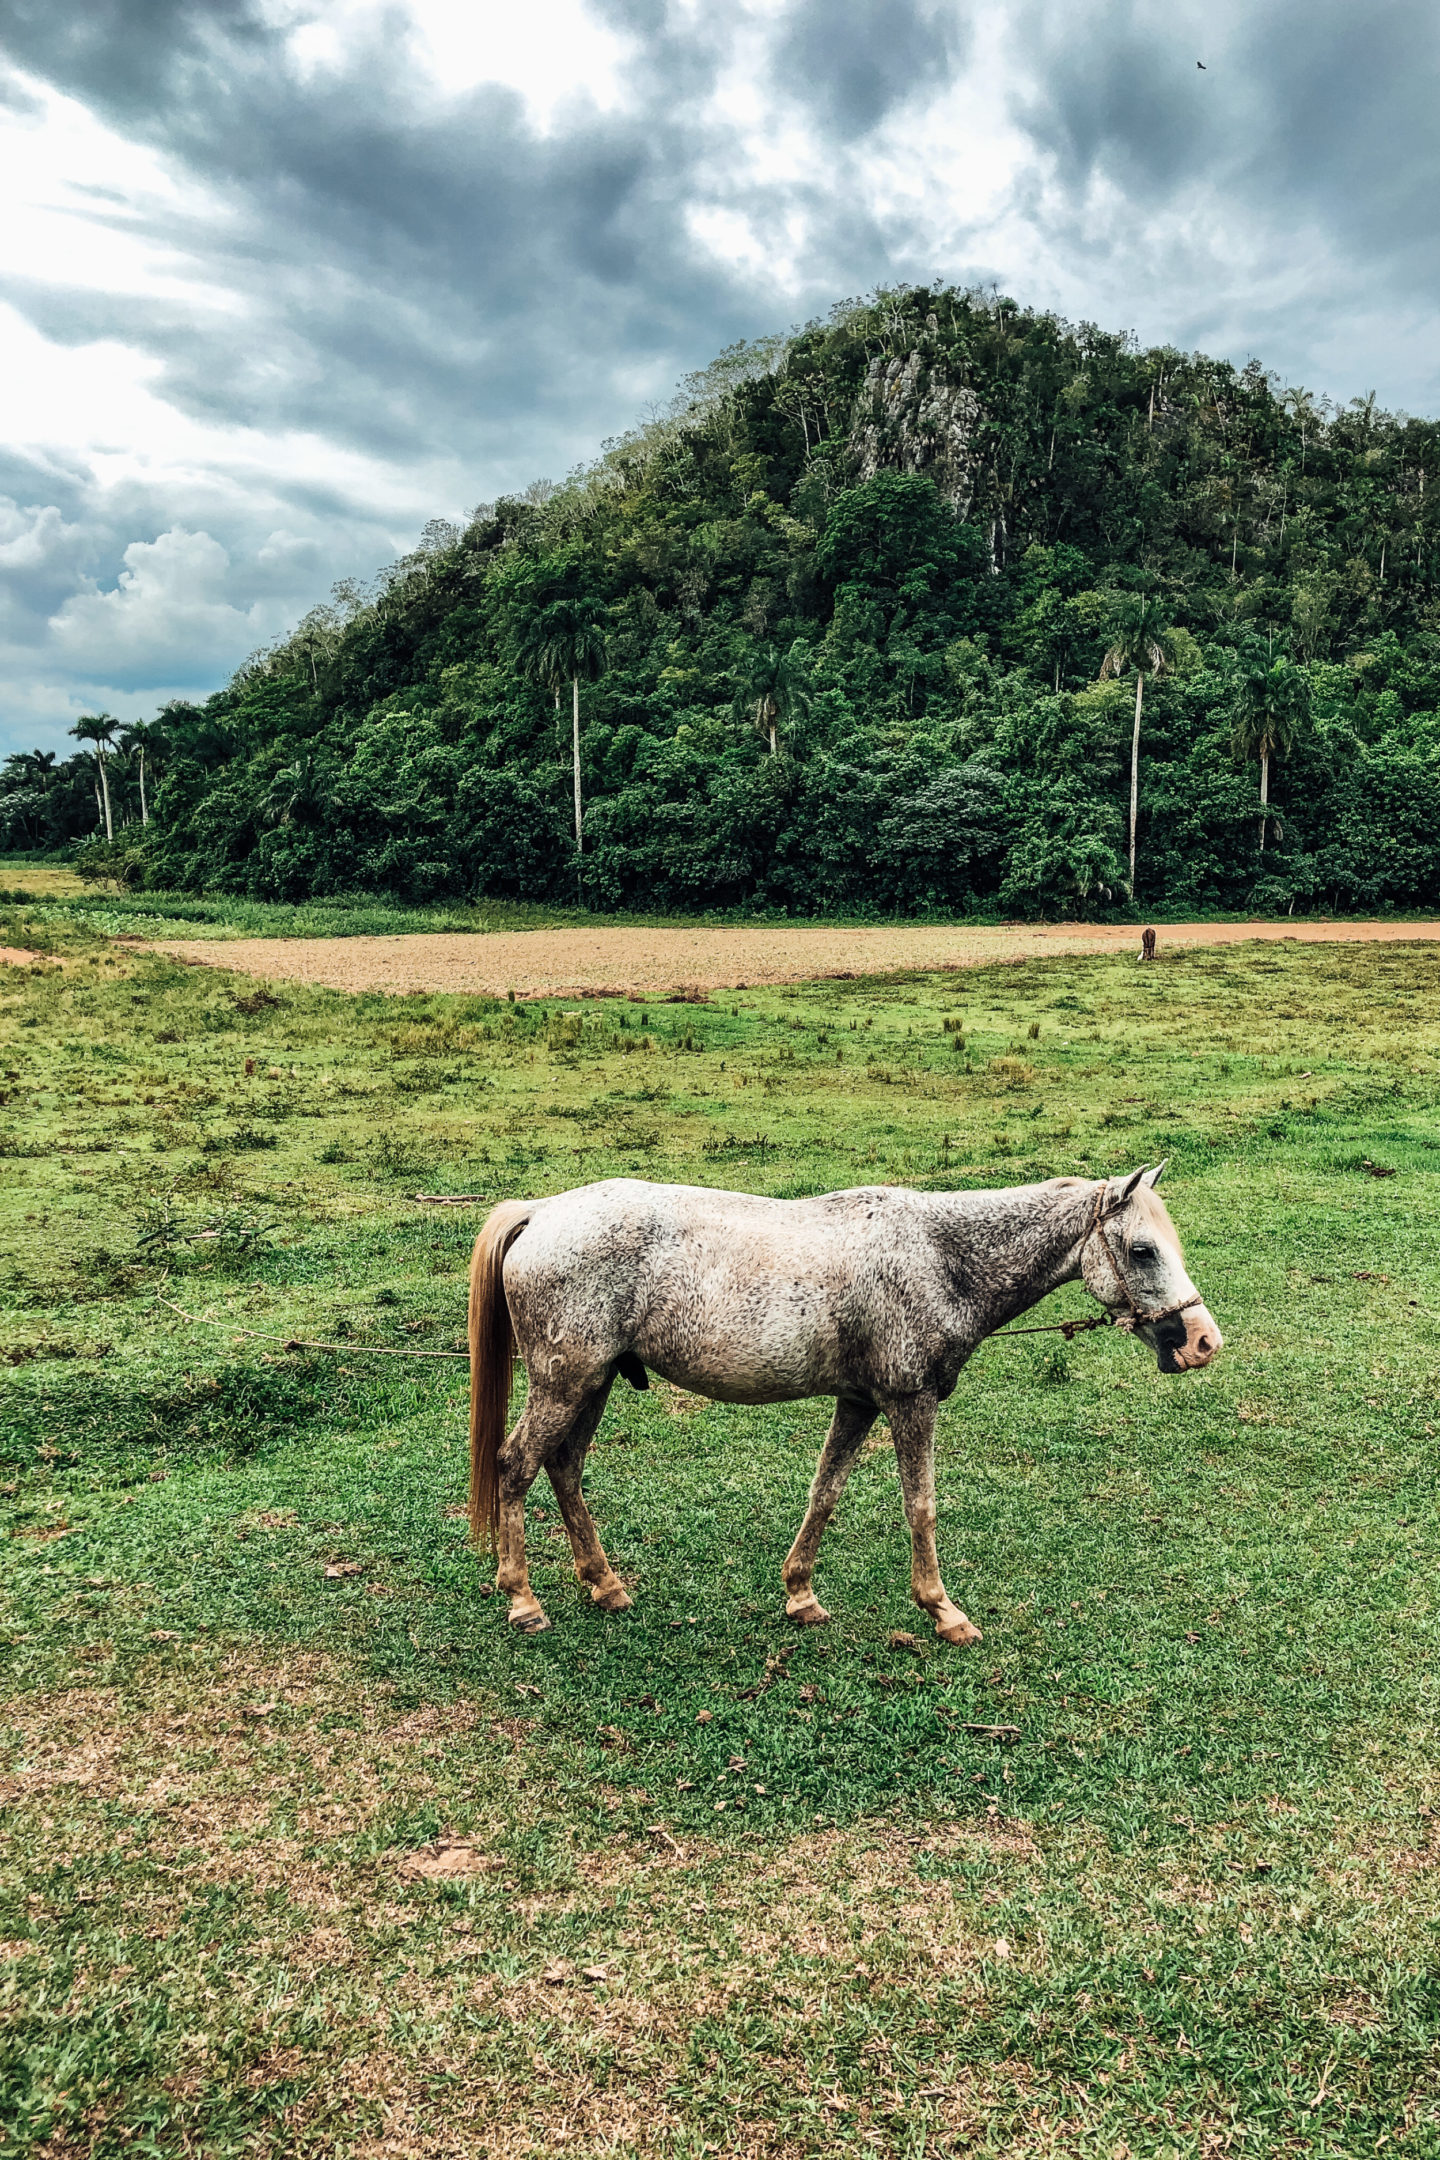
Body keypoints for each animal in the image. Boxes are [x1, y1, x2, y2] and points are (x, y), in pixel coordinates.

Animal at [468, 1175, 1226, 1641]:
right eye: (1142, 1250)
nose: (1202, 1341)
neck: (939, 1257)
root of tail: (541, 1212)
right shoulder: (909, 1402)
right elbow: (919, 1505)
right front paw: (942, 1610)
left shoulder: (859, 1403)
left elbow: (824, 1492)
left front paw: (800, 1593)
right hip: (564, 1382)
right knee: (516, 1466)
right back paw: (522, 1598)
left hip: (591, 1383)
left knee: (564, 1467)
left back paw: (604, 1584)